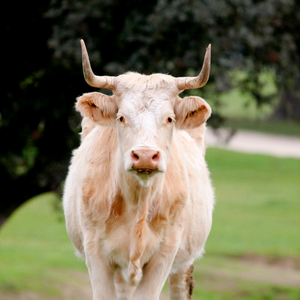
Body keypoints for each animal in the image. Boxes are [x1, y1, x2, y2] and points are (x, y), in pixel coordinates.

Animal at [62, 40, 213, 300]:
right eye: (121, 117)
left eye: (170, 118)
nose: (144, 156)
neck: (138, 201)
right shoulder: (96, 253)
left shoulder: (165, 255)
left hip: (183, 263)